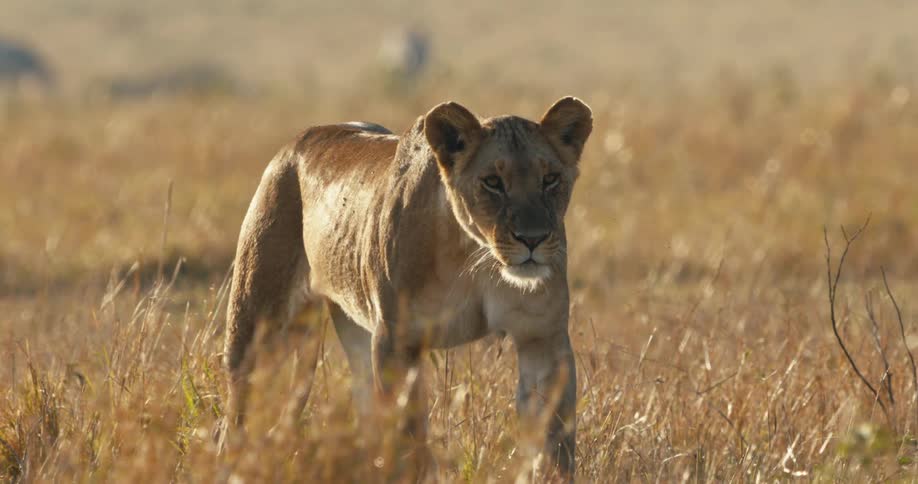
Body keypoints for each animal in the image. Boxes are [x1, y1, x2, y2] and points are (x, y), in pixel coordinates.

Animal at [222, 97, 592, 478]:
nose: (532, 239)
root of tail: (295, 143)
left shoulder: (541, 339)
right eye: (492, 182)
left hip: (351, 332)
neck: (474, 254)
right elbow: (407, 435)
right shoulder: (397, 340)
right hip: (261, 325)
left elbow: (553, 441)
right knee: (238, 406)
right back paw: (231, 464)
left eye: (550, 179)